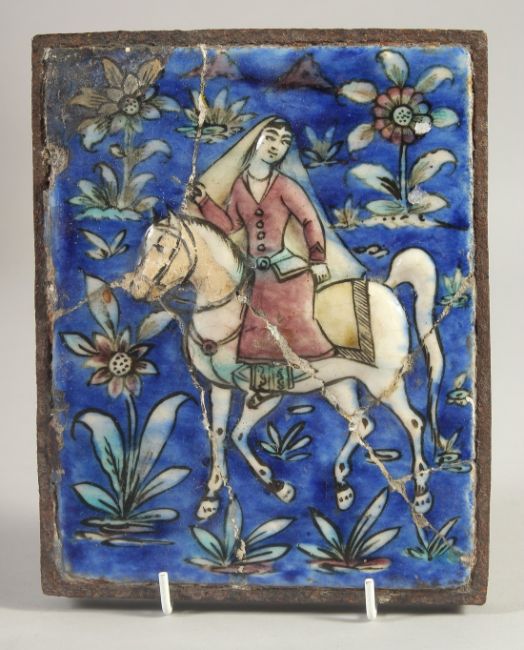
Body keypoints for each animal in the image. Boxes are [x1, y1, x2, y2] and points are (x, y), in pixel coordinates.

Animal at [128, 212, 445, 521]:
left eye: (160, 247)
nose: (136, 288)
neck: (229, 316)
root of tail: (388, 289)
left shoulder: (266, 394)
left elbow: (237, 435)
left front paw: (278, 486)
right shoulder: (220, 388)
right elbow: (218, 436)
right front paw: (210, 498)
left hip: (384, 382)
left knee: (413, 422)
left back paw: (421, 494)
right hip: (340, 383)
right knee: (363, 423)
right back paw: (342, 487)